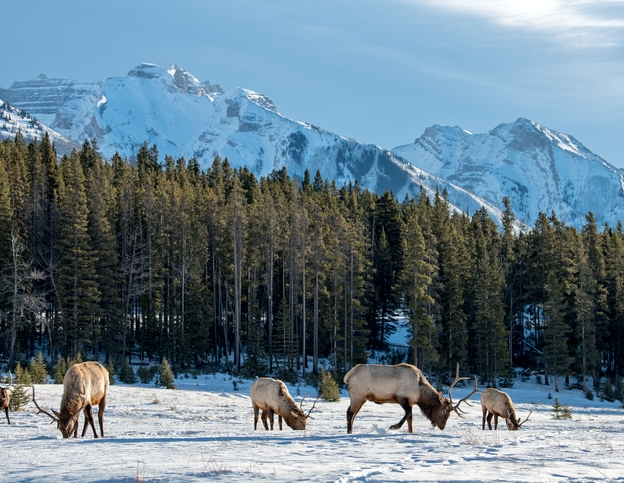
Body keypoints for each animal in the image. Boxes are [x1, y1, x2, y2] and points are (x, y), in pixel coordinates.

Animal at [344, 364, 476, 434]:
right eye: (444, 410)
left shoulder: (410, 402)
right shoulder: (401, 397)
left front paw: (410, 432)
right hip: (357, 395)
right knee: (350, 413)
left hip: (362, 398)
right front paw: (394, 426)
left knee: (353, 414)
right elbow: (408, 414)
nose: (442, 426)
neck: (419, 393)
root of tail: (348, 375)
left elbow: (410, 418)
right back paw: (349, 432)